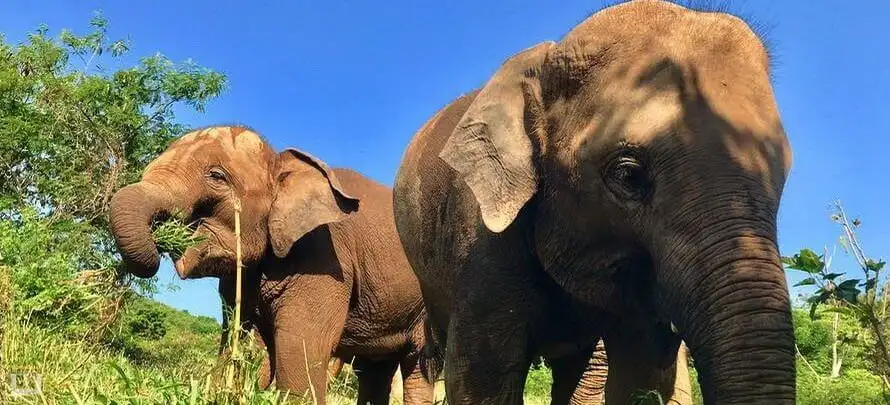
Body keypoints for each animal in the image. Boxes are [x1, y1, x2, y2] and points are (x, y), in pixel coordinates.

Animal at [109, 125, 435, 404]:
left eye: (216, 176)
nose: (161, 240)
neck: (279, 162)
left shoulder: (326, 260)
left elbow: (298, 347)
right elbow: (236, 341)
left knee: (419, 367)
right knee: (375, 369)